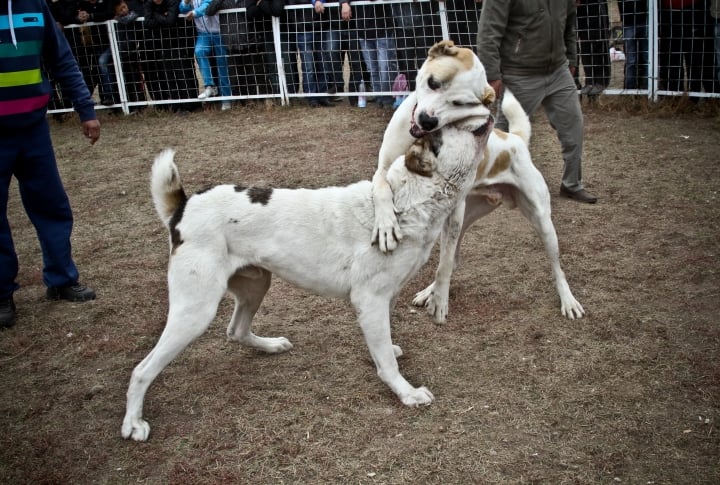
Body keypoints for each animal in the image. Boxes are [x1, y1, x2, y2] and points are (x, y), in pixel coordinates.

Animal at [122, 48, 496, 438]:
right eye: (444, 132)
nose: (487, 112)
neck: (406, 201)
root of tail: (184, 206)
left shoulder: (386, 297)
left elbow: (384, 347)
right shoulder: (370, 301)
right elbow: (386, 364)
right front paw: (406, 393)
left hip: (256, 283)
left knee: (235, 330)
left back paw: (270, 346)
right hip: (195, 310)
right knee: (142, 370)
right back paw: (133, 422)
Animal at [372, 40, 584, 322]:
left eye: (460, 103)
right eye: (433, 83)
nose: (427, 120)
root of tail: (515, 139)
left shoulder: (453, 208)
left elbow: (444, 264)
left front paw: (440, 301)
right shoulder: (382, 170)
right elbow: (382, 191)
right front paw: (385, 226)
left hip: (540, 222)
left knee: (556, 266)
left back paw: (568, 300)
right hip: (468, 215)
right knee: (454, 257)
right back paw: (428, 291)